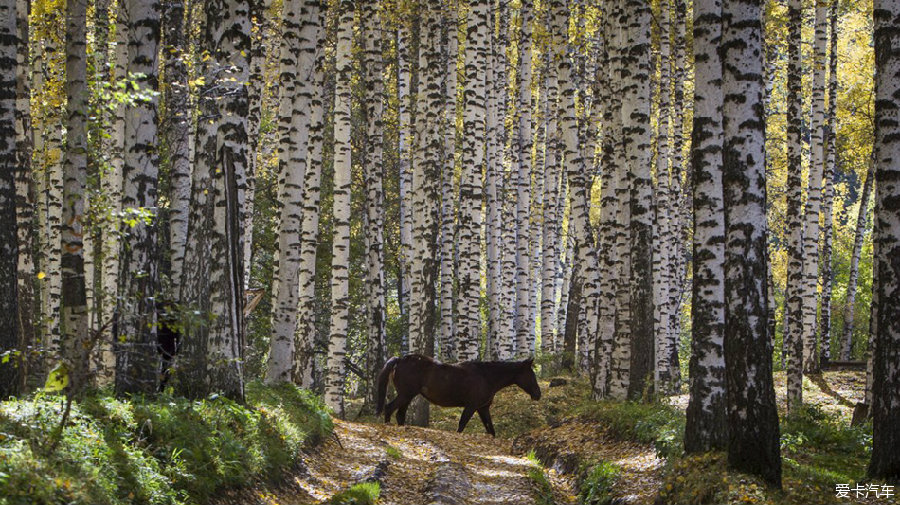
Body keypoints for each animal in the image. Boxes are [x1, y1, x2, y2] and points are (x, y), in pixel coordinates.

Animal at [374, 352, 540, 436]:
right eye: (532, 375)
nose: (538, 394)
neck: (486, 376)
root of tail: (400, 359)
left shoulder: (483, 408)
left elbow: (491, 430)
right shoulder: (472, 406)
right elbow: (461, 425)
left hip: (408, 396)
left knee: (399, 414)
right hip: (406, 394)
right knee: (389, 408)